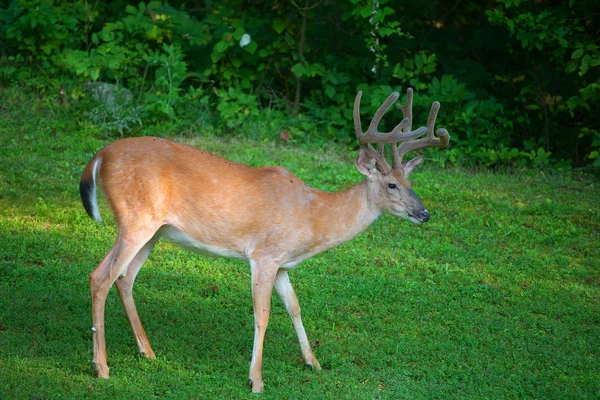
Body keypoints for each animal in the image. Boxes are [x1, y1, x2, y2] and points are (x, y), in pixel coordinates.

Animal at [78, 89, 446, 392]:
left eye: (411, 183)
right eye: (391, 185)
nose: (424, 213)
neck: (312, 216)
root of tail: (100, 155)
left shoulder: (283, 264)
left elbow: (295, 306)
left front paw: (313, 363)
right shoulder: (264, 255)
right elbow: (263, 314)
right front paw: (256, 379)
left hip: (154, 230)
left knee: (124, 278)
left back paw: (148, 352)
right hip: (135, 218)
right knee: (100, 276)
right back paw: (102, 367)